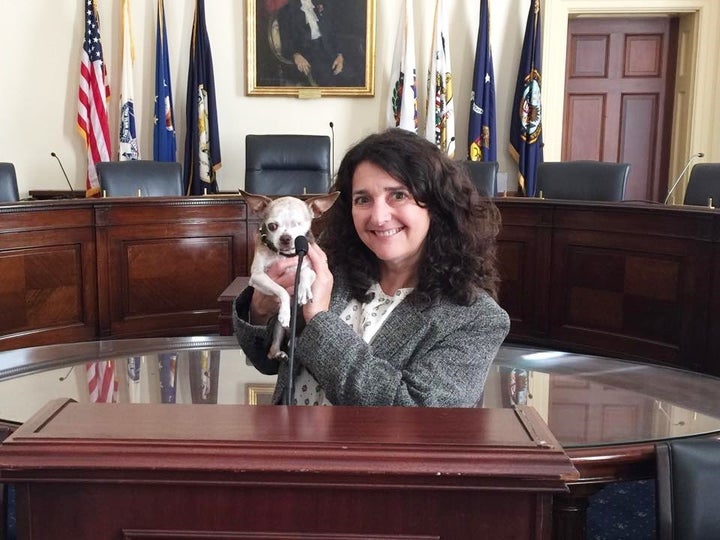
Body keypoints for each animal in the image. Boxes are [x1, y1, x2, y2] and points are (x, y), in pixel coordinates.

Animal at [240, 190, 338, 358]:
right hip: (278, 327)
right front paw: (285, 312)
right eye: (272, 226)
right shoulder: (257, 277)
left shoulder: (314, 268)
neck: (285, 256)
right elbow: (282, 291)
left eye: (298, 225)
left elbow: (306, 272)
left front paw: (303, 290)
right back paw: (279, 352)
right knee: (271, 350)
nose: (285, 238)